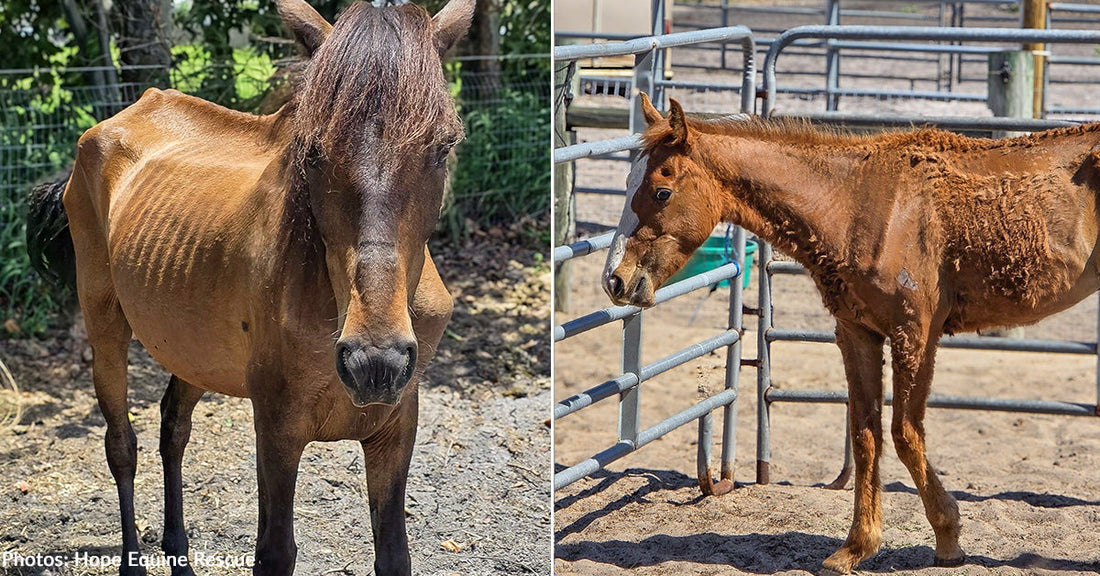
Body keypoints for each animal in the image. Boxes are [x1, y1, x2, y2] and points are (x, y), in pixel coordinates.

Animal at [25, 0, 473, 574]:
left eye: (444, 147)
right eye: (313, 151)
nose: (375, 363)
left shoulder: (395, 428)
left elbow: (394, 553)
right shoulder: (277, 428)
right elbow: (274, 551)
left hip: (192, 348)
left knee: (174, 428)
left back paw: (179, 550)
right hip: (104, 323)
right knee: (121, 444)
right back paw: (134, 557)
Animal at [603, 93, 1100, 574]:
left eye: (661, 191)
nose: (615, 281)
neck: (858, 204)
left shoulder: (914, 334)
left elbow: (905, 433)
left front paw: (947, 537)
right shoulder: (858, 334)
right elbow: (865, 436)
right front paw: (857, 547)